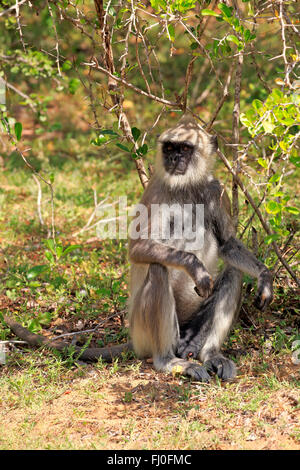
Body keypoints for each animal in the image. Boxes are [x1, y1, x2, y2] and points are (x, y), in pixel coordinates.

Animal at [127, 114, 274, 382]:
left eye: (185, 148)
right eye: (170, 147)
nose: (174, 159)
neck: (185, 186)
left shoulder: (214, 189)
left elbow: (227, 244)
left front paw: (264, 276)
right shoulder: (156, 191)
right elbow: (137, 248)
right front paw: (196, 268)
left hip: (191, 326)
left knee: (234, 271)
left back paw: (210, 354)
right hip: (142, 332)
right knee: (157, 269)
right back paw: (167, 361)